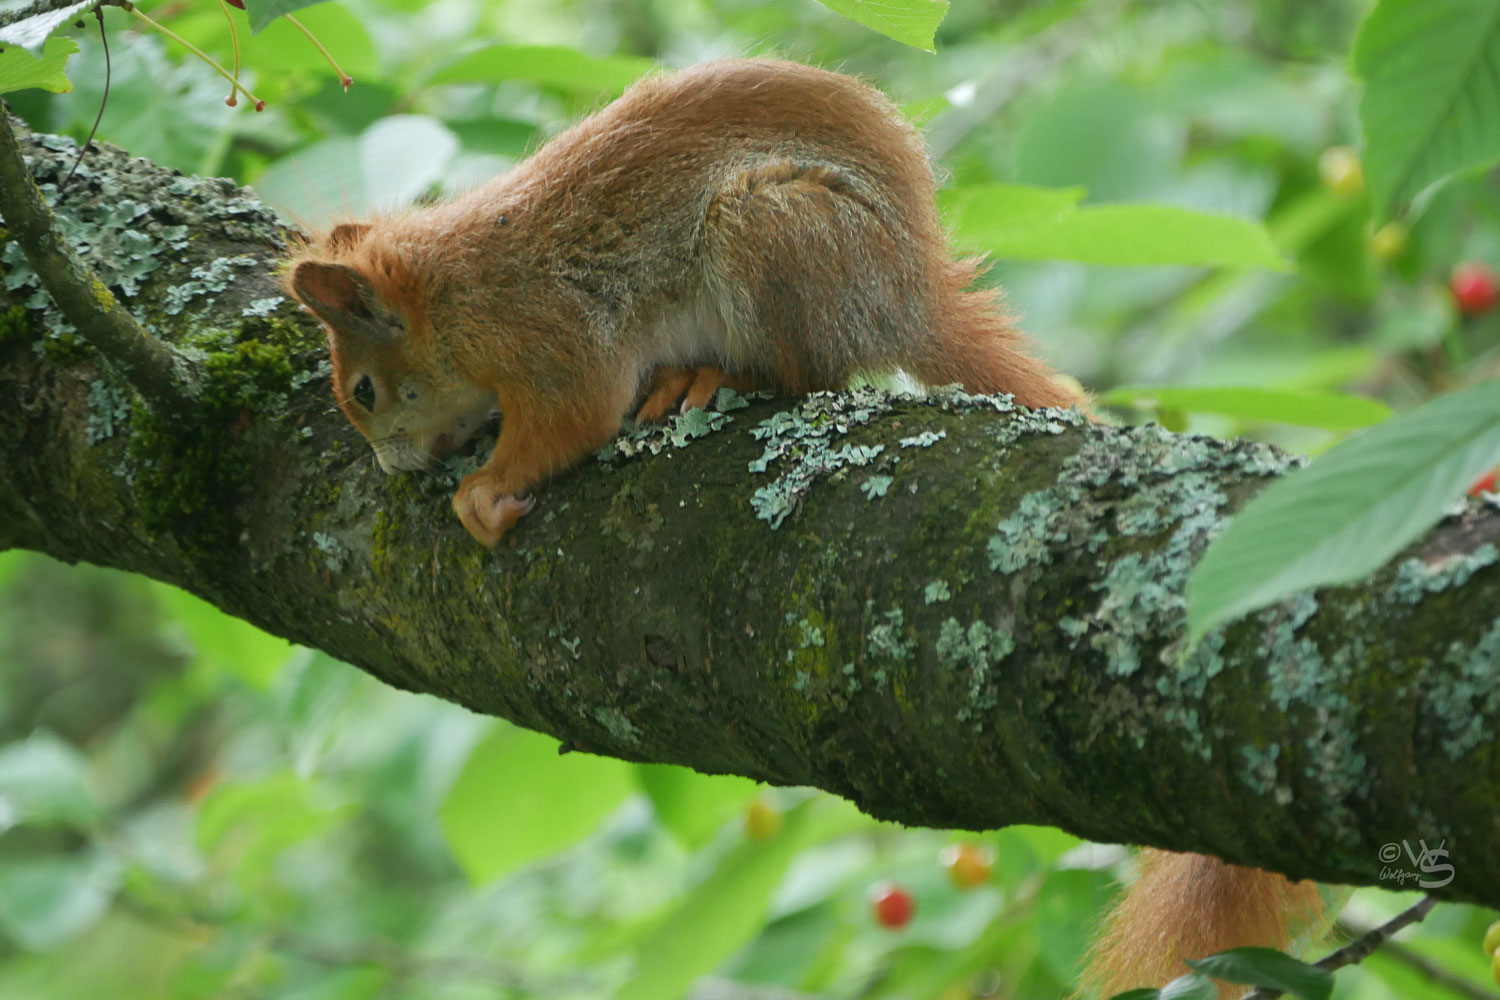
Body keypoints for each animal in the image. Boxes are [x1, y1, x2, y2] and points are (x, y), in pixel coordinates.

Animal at [289, 56, 1092, 548]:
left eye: (364, 391)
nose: (389, 467)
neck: (451, 297)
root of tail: (911, 296)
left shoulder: (547, 330)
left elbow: (577, 413)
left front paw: (482, 492)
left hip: (777, 234)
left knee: (816, 376)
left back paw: (718, 374)